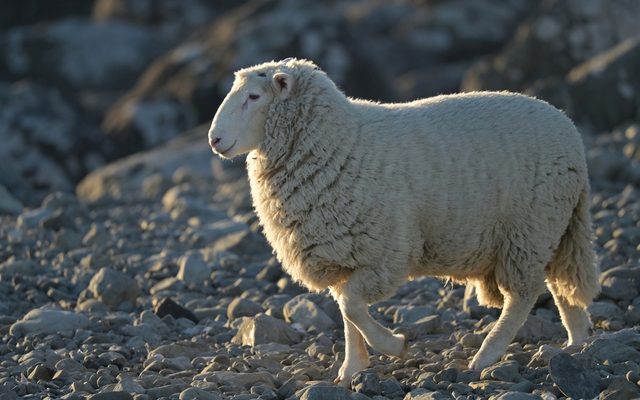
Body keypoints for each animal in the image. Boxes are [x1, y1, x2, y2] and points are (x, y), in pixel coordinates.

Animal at [207, 58, 600, 385]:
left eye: (254, 96)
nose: (214, 140)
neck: (339, 142)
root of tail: (569, 129)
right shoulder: (344, 253)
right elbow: (347, 313)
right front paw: (352, 367)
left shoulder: (387, 253)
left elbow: (351, 306)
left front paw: (393, 345)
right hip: (549, 229)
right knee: (559, 287)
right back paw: (576, 342)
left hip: (529, 228)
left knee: (522, 296)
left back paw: (486, 356)